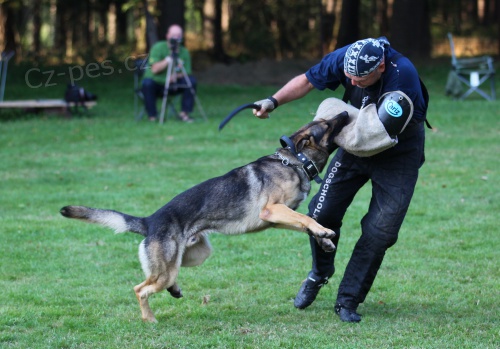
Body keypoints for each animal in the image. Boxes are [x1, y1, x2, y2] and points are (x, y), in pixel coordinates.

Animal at [60, 111, 348, 320]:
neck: (295, 161)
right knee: (140, 289)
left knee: (164, 279)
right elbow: (308, 220)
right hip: (167, 267)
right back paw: (149, 319)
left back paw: (174, 290)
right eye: (326, 124)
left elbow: (306, 223)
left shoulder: (279, 218)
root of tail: (149, 221)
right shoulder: (273, 210)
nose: (345, 111)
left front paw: (323, 238)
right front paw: (323, 232)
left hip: (194, 255)